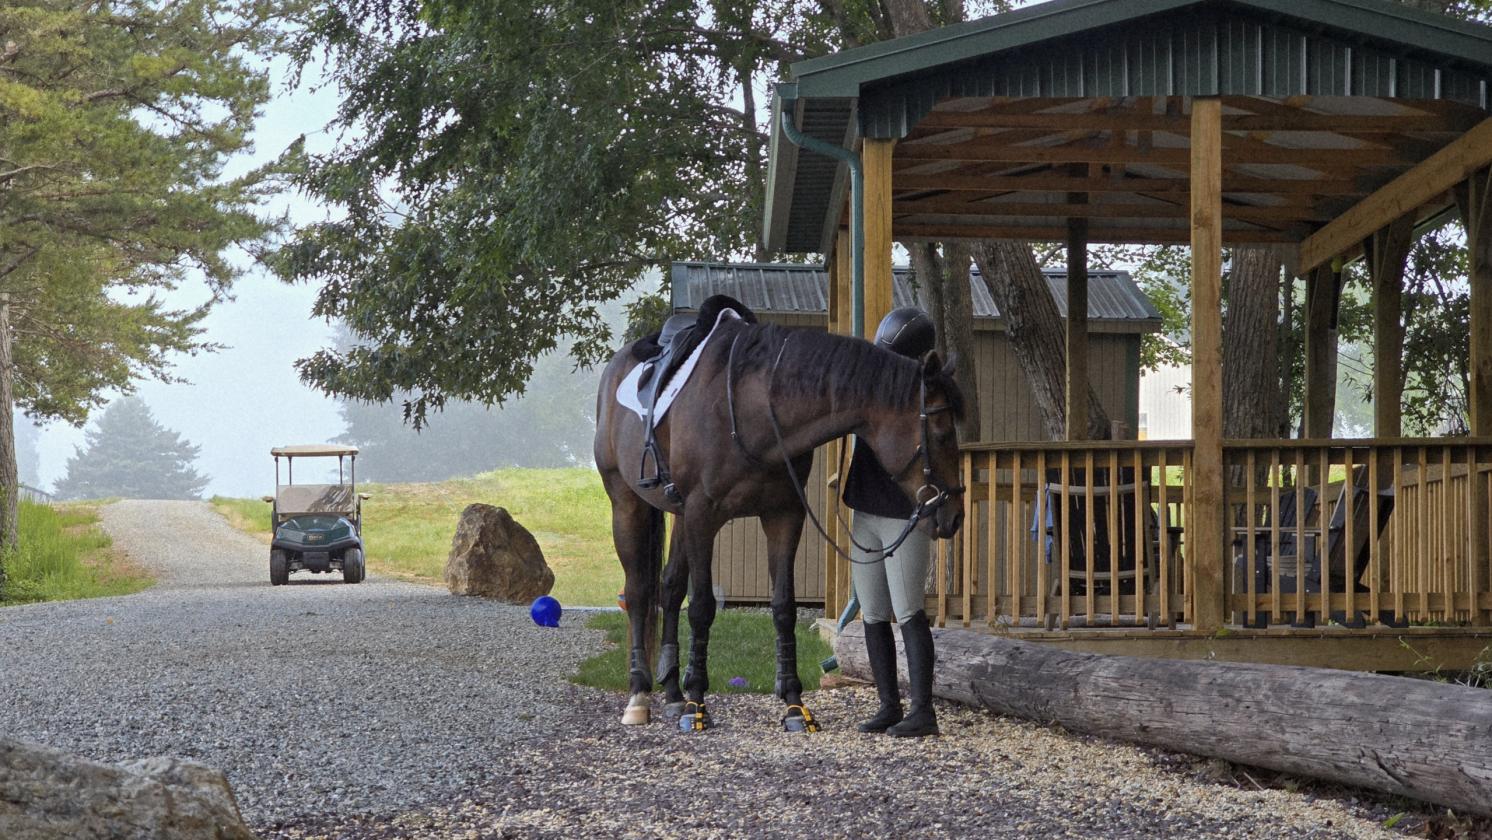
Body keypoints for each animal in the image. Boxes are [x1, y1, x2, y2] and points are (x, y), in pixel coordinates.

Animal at [593, 298, 966, 731]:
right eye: (941, 433)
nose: (954, 515)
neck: (750, 408)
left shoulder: (783, 516)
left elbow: (783, 607)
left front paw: (793, 703)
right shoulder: (704, 515)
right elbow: (701, 608)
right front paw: (697, 702)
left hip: (679, 517)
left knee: (669, 589)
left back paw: (671, 692)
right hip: (627, 505)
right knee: (639, 592)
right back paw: (640, 694)